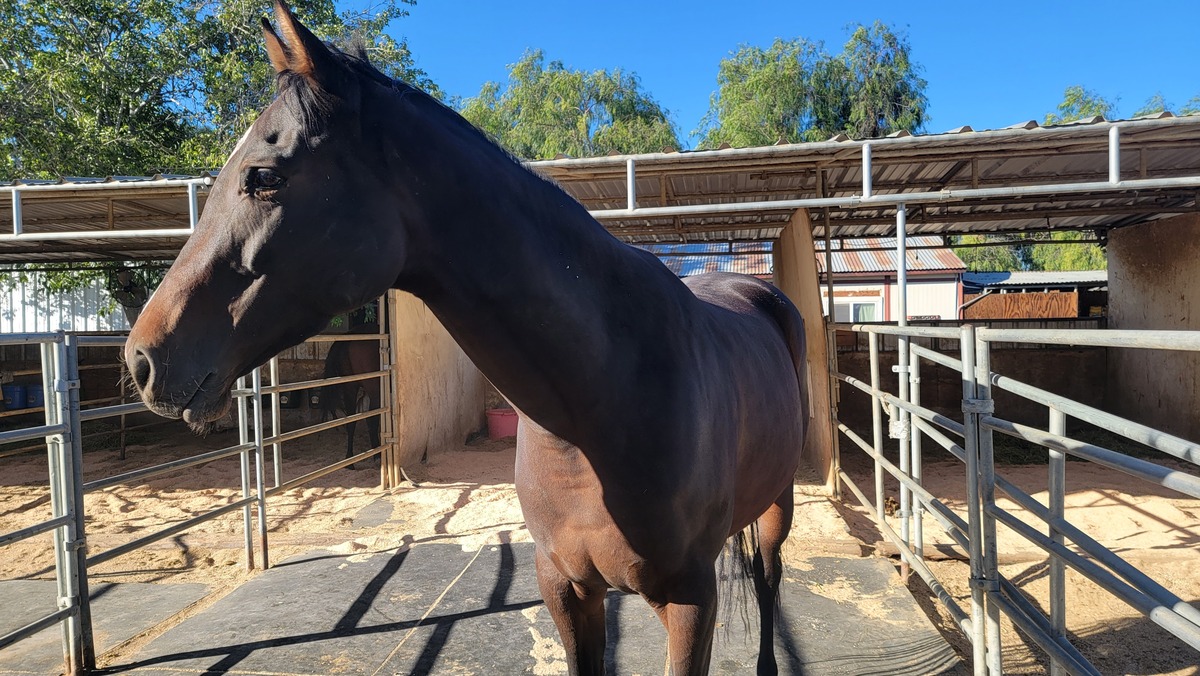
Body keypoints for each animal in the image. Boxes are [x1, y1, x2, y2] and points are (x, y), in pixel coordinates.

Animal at [320, 325, 382, 469]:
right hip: (374, 391)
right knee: (372, 419)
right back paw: (377, 456)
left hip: (350, 387)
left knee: (351, 420)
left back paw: (350, 460)